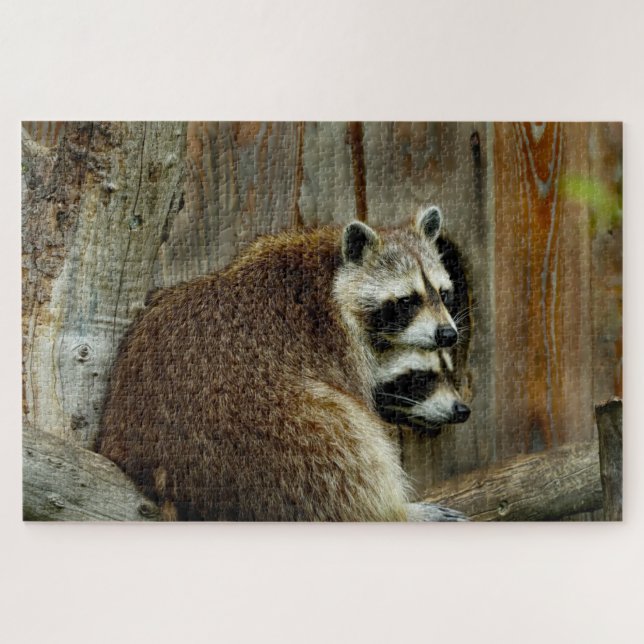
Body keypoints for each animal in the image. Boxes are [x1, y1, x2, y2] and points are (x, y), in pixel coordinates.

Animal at [97, 207, 464, 521]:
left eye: (444, 293)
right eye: (406, 301)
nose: (447, 334)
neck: (329, 268)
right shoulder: (337, 343)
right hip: (274, 437)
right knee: (346, 441)